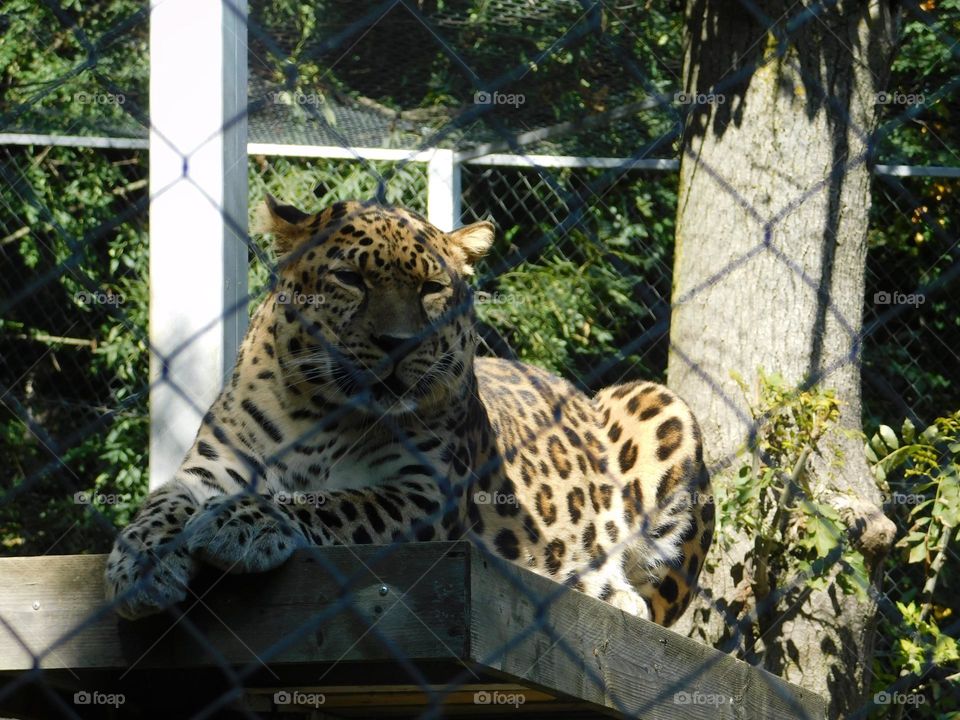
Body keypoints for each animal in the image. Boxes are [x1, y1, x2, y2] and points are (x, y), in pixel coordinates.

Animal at [105, 195, 714, 627]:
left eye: (431, 288)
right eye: (350, 278)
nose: (398, 344)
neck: (322, 412)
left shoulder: (425, 491)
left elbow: (335, 503)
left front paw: (242, 522)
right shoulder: (209, 470)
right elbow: (158, 508)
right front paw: (137, 566)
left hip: (660, 407)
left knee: (655, 604)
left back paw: (616, 598)